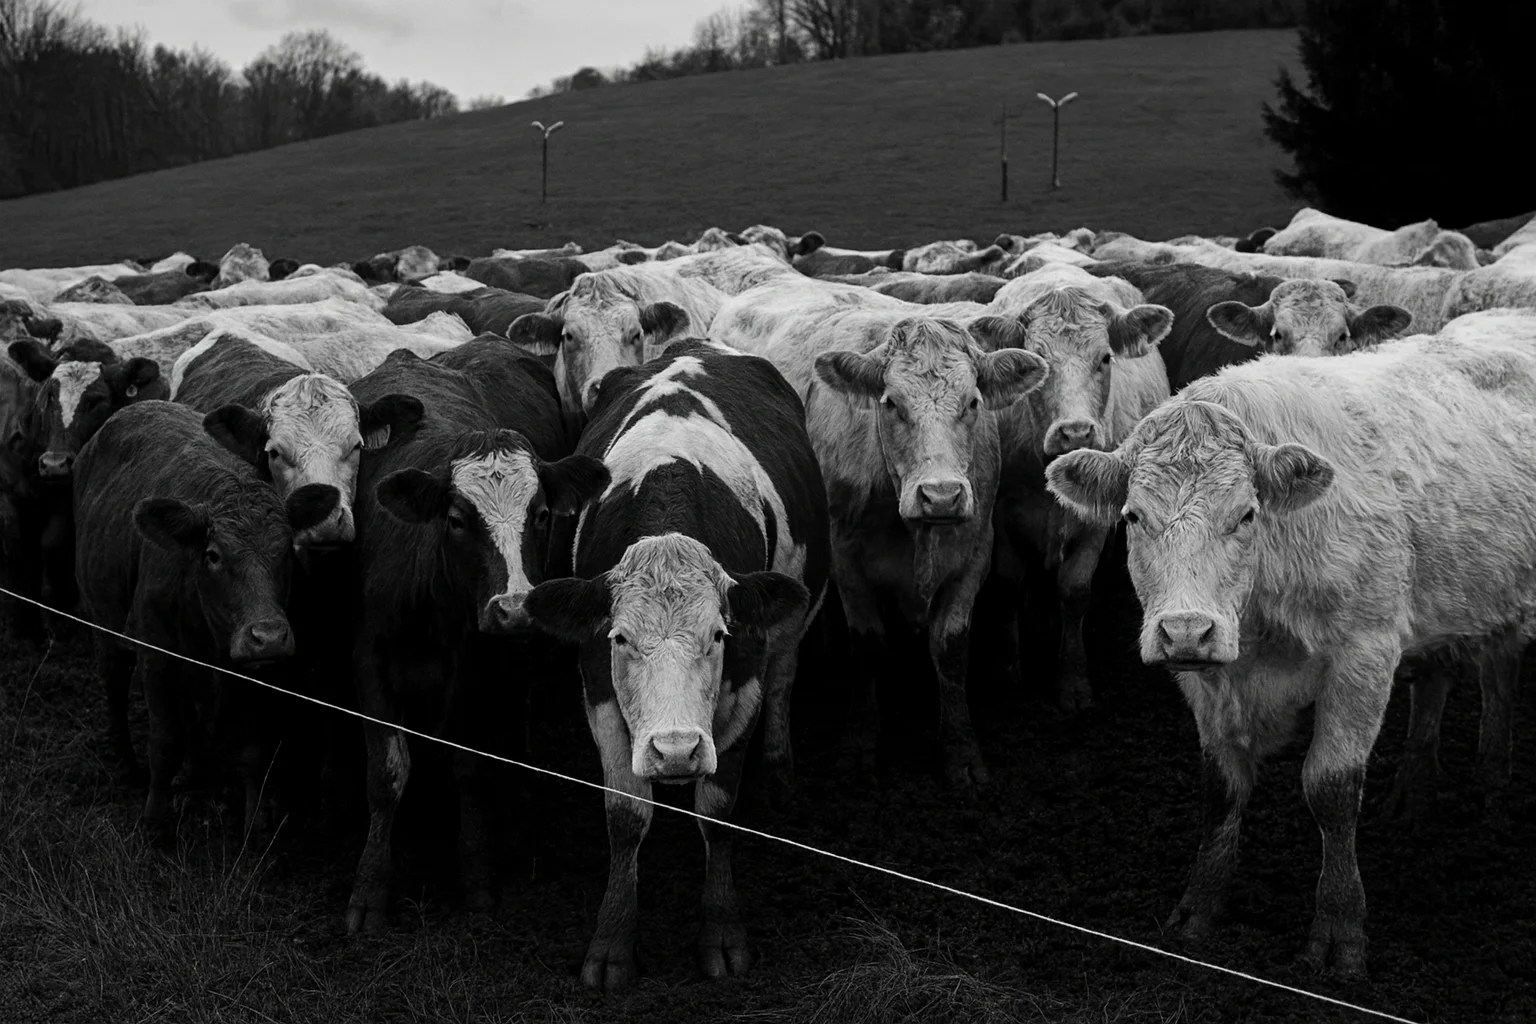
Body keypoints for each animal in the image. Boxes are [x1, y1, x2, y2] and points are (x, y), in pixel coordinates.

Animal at [74, 400, 339, 843]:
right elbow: (165, 740)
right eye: (213, 554)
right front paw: (156, 821)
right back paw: (127, 765)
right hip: (105, 625)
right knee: (113, 685)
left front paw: (254, 826)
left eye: (286, 549)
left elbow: (253, 749)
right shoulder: (156, 657)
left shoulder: (253, 670)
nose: (268, 636)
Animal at [343, 337, 607, 932]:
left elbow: (469, 768)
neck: (432, 610)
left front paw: (478, 878)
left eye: (540, 514)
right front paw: (369, 888)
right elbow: (386, 773)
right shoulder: (369, 658)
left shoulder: (478, 673)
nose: (513, 608)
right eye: (458, 519)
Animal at [525, 340, 828, 988]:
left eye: (717, 635)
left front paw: (722, 932)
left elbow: (717, 811)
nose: (675, 751)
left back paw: (780, 769)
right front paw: (612, 942)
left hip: (793, 622)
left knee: (786, 679)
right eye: (619, 639)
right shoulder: (598, 687)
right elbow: (625, 815)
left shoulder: (744, 678)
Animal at [1044, 329, 1536, 979]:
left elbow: (1330, 789)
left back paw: (1494, 790)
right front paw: (1197, 911)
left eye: (1246, 513)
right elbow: (1221, 789)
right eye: (1133, 515)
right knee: (1442, 677)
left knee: (1499, 673)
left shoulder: (1364, 654)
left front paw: (1339, 929)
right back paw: (1415, 793)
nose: (1185, 630)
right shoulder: (1206, 679)